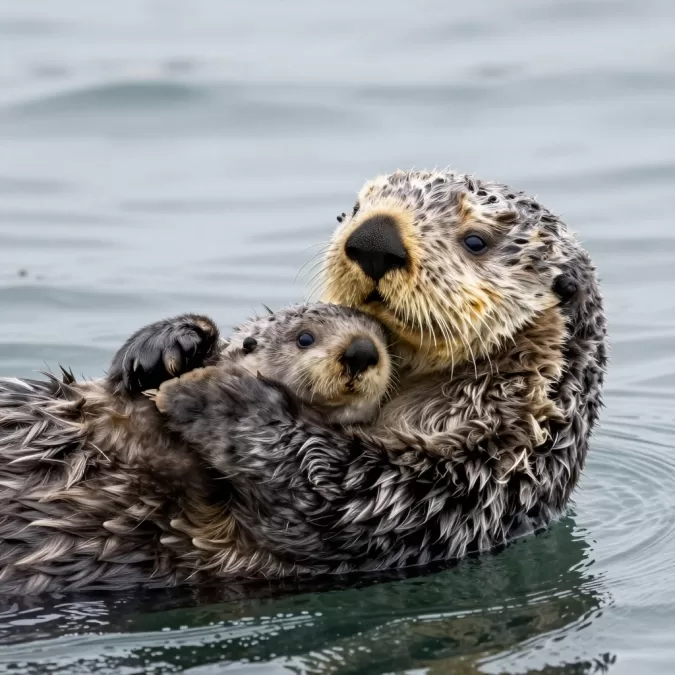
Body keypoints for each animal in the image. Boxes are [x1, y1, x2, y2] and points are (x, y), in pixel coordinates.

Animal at [122, 169, 607, 575]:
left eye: (476, 241)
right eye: (356, 209)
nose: (374, 238)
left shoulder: (479, 479)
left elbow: (348, 493)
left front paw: (218, 399)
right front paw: (165, 345)